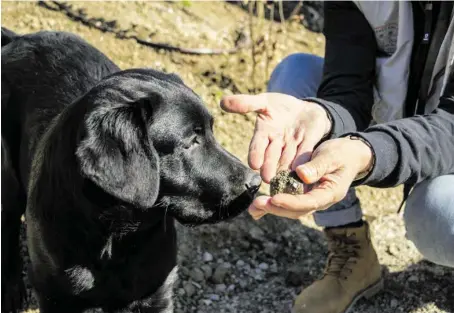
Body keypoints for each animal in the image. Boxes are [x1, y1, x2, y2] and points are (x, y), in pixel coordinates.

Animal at [1, 27, 262, 312]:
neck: (117, 237)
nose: (255, 183)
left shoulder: (155, 293)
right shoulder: (56, 295)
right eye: (191, 141)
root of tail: (19, 38)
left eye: (211, 133)